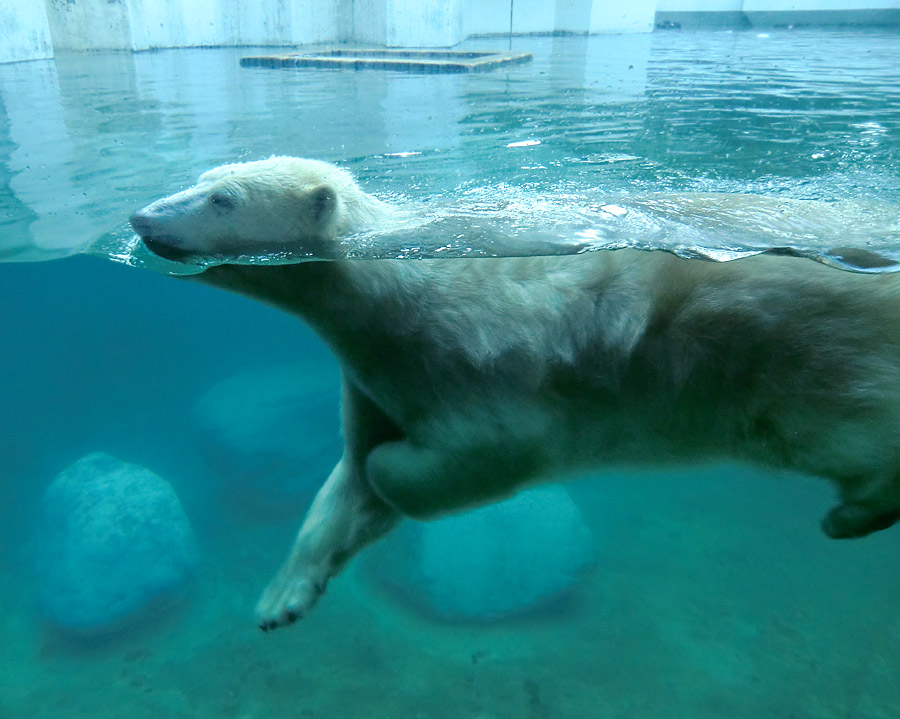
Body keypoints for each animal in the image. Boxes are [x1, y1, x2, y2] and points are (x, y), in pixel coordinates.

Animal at [128, 156, 900, 632]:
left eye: (222, 198)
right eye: (204, 177)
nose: (140, 217)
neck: (390, 282)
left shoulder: (470, 356)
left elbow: (447, 457)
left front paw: (387, 482)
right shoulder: (374, 373)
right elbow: (347, 475)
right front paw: (282, 598)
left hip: (806, 360)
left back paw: (854, 512)